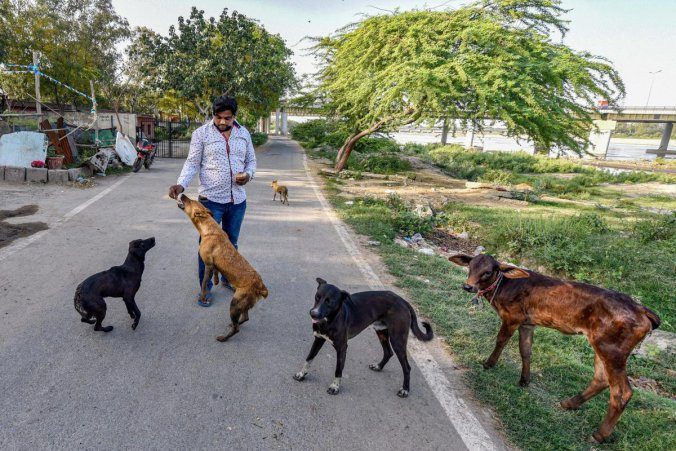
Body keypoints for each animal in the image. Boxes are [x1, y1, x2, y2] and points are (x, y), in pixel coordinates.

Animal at [178, 192, 268, 340]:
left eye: (190, 201)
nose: (183, 194)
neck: (210, 229)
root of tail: (261, 287)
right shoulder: (213, 265)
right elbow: (216, 272)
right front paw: (215, 281)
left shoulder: (208, 264)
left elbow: (204, 283)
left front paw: (203, 296)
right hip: (243, 305)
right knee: (245, 318)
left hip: (235, 304)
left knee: (237, 328)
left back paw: (223, 338)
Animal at [294, 278, 434, 398]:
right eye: (317, 297)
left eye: (330, 302)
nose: (313, 314)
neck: (329, 321)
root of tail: (404, 301)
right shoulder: (318, 339)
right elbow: (309, 358)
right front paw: (301, 374)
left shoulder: (342, 347)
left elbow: (338, 369)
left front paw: (335, 387)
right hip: (381, 332)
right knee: (388, 352)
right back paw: (379, 366)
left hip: (397, 339)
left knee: (406, 367)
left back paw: (405, 390)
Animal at [448, 254, 660, 444]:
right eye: (471, 266)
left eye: (488, 271)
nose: (468, 286)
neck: (503, 289)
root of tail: (642, 310)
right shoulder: (527, 323)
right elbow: (525, 350)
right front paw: (524, 380)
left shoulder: (513, 317)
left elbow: (501, 340)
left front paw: (489, 364)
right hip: (601, 346)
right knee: (600, 378)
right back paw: (569, 404)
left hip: (612, 349)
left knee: (621, 391)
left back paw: (598, 435)